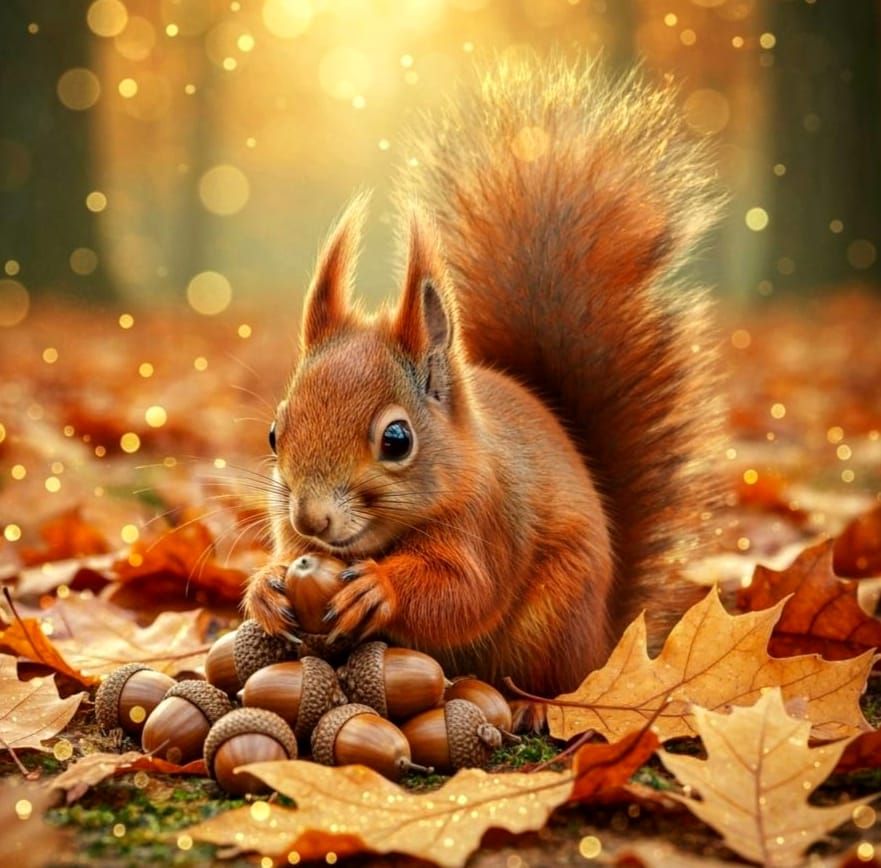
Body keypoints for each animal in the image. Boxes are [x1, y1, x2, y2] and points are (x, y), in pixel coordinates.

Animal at [244, 56, 724, 701]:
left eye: (397, 439)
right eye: (275, 434)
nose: (310, 518)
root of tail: (604, 641)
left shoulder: (489, 521)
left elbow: (466, 590)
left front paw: (380, 587)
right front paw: (265, 587)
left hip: (555, 620)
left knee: (547, 680)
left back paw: (531, 708)